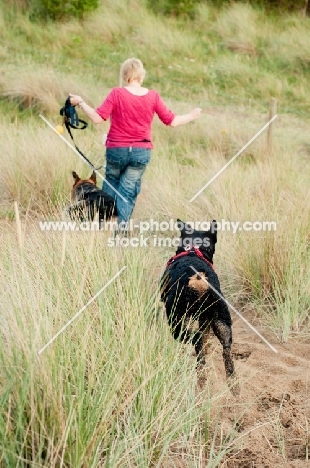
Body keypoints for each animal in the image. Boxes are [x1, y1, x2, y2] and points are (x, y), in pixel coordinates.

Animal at [161, 219, 239, 394]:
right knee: (225, 349)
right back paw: (233, 385)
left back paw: (201, 381)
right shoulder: (206, 319)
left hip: (176, 323)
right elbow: (207, 339)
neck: (193, 250)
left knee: (196, 340)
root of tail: (199, 280)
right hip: (222, 320)